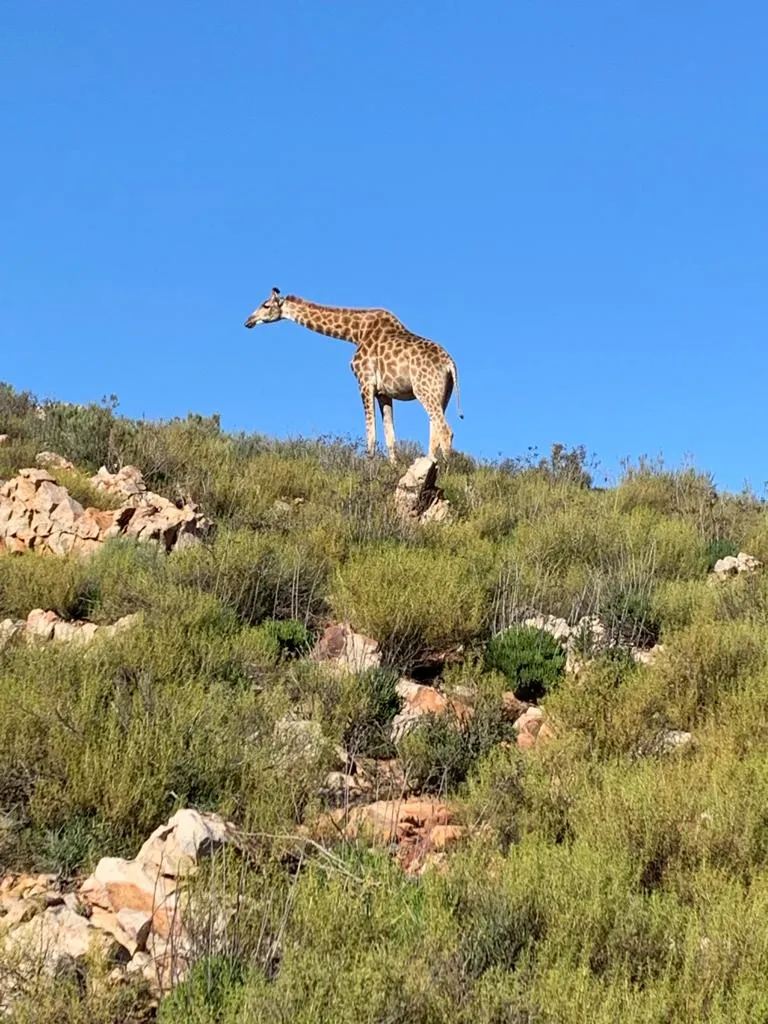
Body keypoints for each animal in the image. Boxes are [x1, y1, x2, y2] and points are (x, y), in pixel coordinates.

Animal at [244, 288, 463, 463]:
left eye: (265, 305)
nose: (248, 321)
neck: (355, 333)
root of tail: (450, 364)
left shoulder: (364, 382)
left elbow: (371, 434)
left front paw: (369, 470)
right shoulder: (383, 392)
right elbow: (390, 436)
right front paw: (393, 467)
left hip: (425, 390)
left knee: (445, 430)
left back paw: (446, 471)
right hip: (442, 394)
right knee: (435, 430)